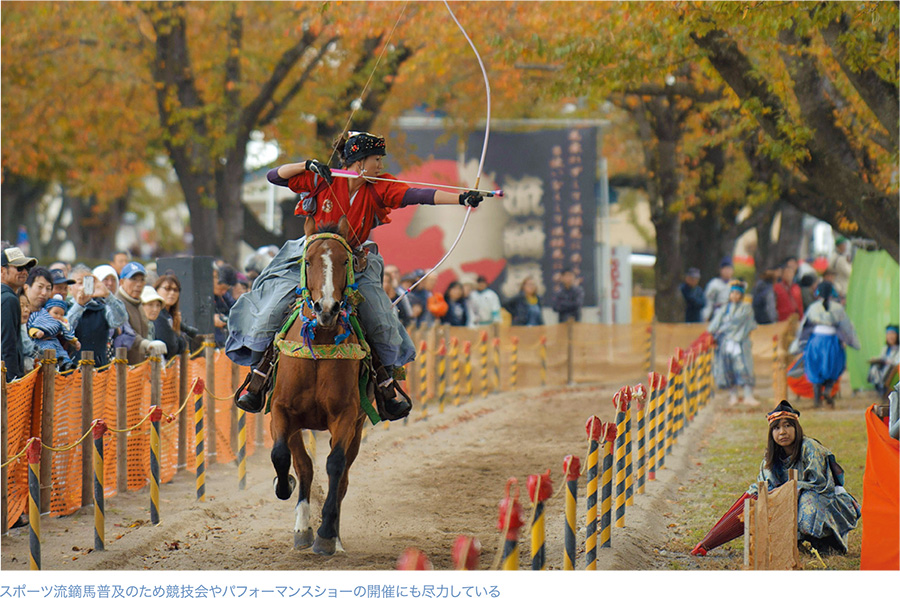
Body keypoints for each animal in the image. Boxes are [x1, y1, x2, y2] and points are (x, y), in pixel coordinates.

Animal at [268, 216, 368, 556]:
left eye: (345, 260)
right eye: (308, 260)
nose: (327, 308)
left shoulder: (346, 415)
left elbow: (335, 466)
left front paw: (326, 535)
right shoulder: (282, 411)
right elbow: (283, 457)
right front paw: (285, 487)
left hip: (358, 428)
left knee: (344, 477)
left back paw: (333, 535)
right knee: (305, 467)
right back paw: (302, 527)